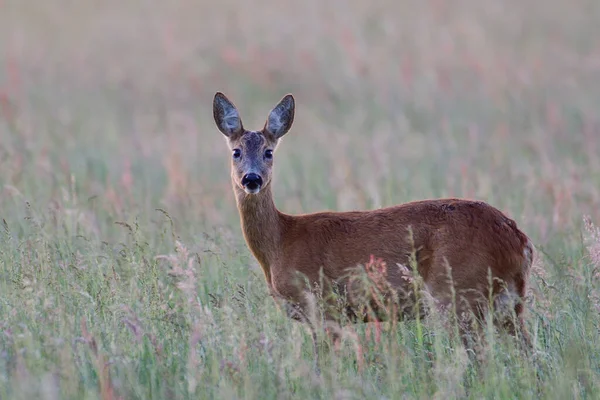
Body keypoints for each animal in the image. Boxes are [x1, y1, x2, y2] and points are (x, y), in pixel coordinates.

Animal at [213, 91, 532, 366]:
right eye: (236, 152)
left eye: (269, 152)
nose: (251, 179)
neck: (281, 242)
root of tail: (519, 240)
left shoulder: (324, 306)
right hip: (507, 302)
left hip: (457, 292)